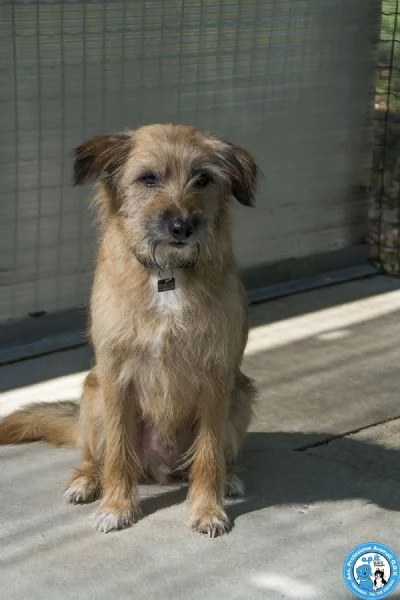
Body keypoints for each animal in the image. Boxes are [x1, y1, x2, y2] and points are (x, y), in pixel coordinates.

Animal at [0, 124, 256, 536]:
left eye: (203, 178)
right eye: (148, 178)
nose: (183, 227)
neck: (167, 273)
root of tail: (161, 468)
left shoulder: (217, 377)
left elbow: (208, 452)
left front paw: (207, 508)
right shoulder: (116, 376)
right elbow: (119, 452)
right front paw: (117, 505)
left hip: (241, 395)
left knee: (212, 455)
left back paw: (229, 475)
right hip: (93, 396)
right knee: (98, 456)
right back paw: (87, 480)